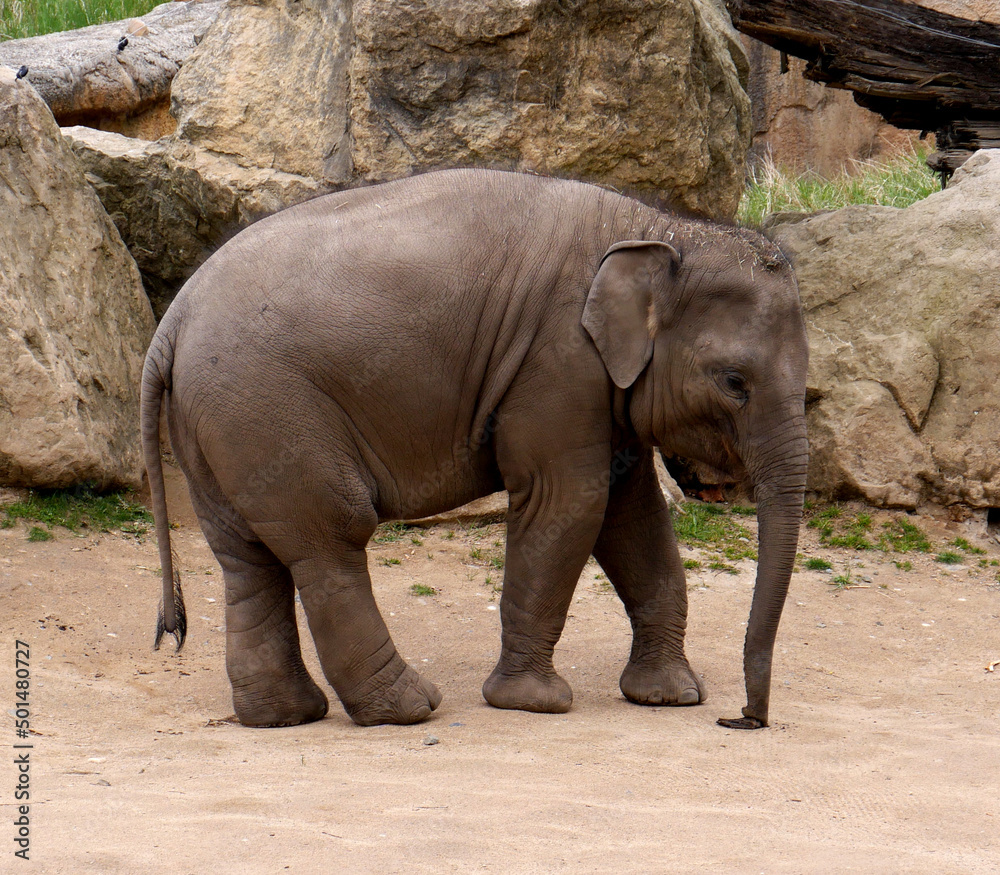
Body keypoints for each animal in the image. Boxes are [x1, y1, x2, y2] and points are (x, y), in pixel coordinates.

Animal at [145, 168, 808, 728]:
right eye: (734, 382)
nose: (742, 719)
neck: (653, 226)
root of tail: (171, 321)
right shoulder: (557, 362)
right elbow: (569, 504)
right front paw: (533, 703)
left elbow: (634, 513)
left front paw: (669, 695)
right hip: (268, 409)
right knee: (332, 539)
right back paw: (410, 708)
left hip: (219, 425)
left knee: (248, 557)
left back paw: (285, 716)